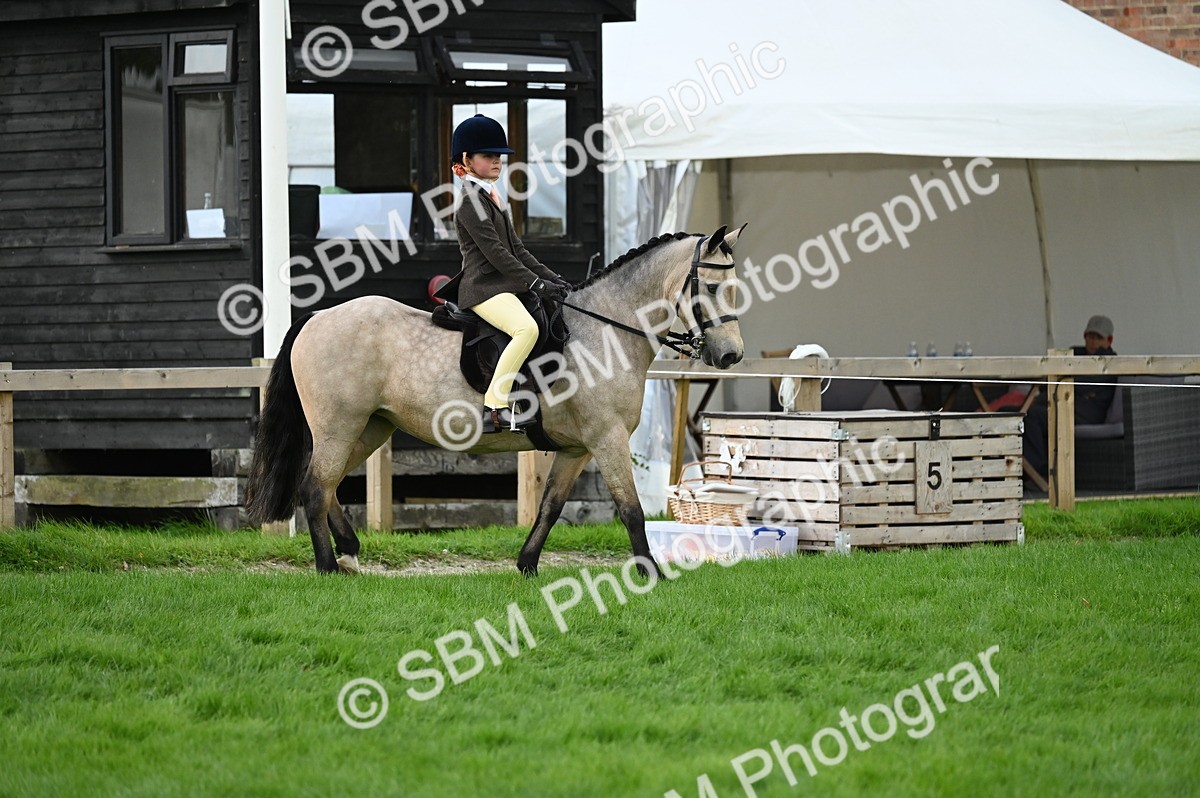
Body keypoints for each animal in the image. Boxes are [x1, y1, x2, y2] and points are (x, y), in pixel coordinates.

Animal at [244, 224, 748, 575]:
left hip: (369, 428)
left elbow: (550, 508)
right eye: (711, 287)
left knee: (323, 485)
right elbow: (632, 511)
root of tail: (316, 316)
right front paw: (650, 575)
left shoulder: (576, 449)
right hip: (339, 426)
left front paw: (526, 566)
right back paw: (329, 566)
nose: (731, 355)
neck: (603, 329)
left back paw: (349, 554)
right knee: (315, 486)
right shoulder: (607, 440)